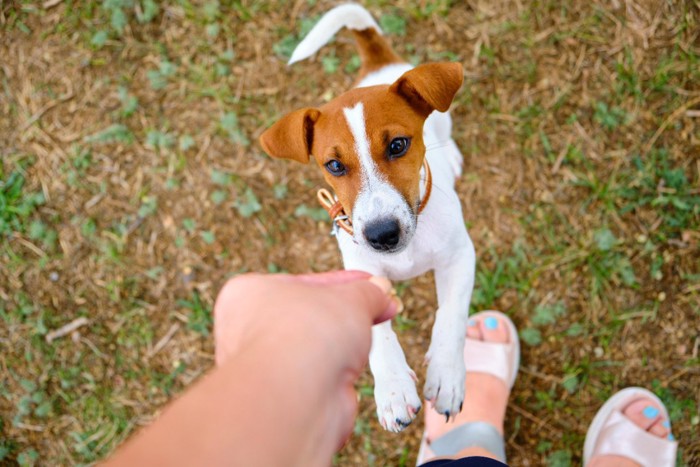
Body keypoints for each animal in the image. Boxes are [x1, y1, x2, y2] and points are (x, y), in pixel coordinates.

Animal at [260, 4, 478, 436]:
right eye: (334, 165)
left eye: (398, 145)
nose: (382, 235)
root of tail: (379, 63)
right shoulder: (360, 273)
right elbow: (379, 335)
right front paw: (392, 389)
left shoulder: (461, 256)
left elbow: (451, 316)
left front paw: (447, 376)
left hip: (443, 118)